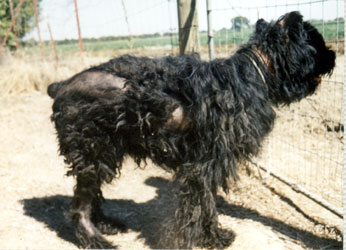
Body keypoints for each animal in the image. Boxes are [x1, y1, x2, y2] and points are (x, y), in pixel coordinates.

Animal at [47, 12, 334, 249]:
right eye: (316, 40)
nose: (333, 54)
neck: (255, 72)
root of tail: (62, 85)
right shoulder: (203, 165)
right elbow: (199, 207)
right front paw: (202, 239)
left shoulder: (208, 165)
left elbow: (205, 204)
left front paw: (210, 237)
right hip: (93, 153)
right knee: (79, 206)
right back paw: (93, 238)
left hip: (102, 156)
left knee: (91, 195)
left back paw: (105, 225)